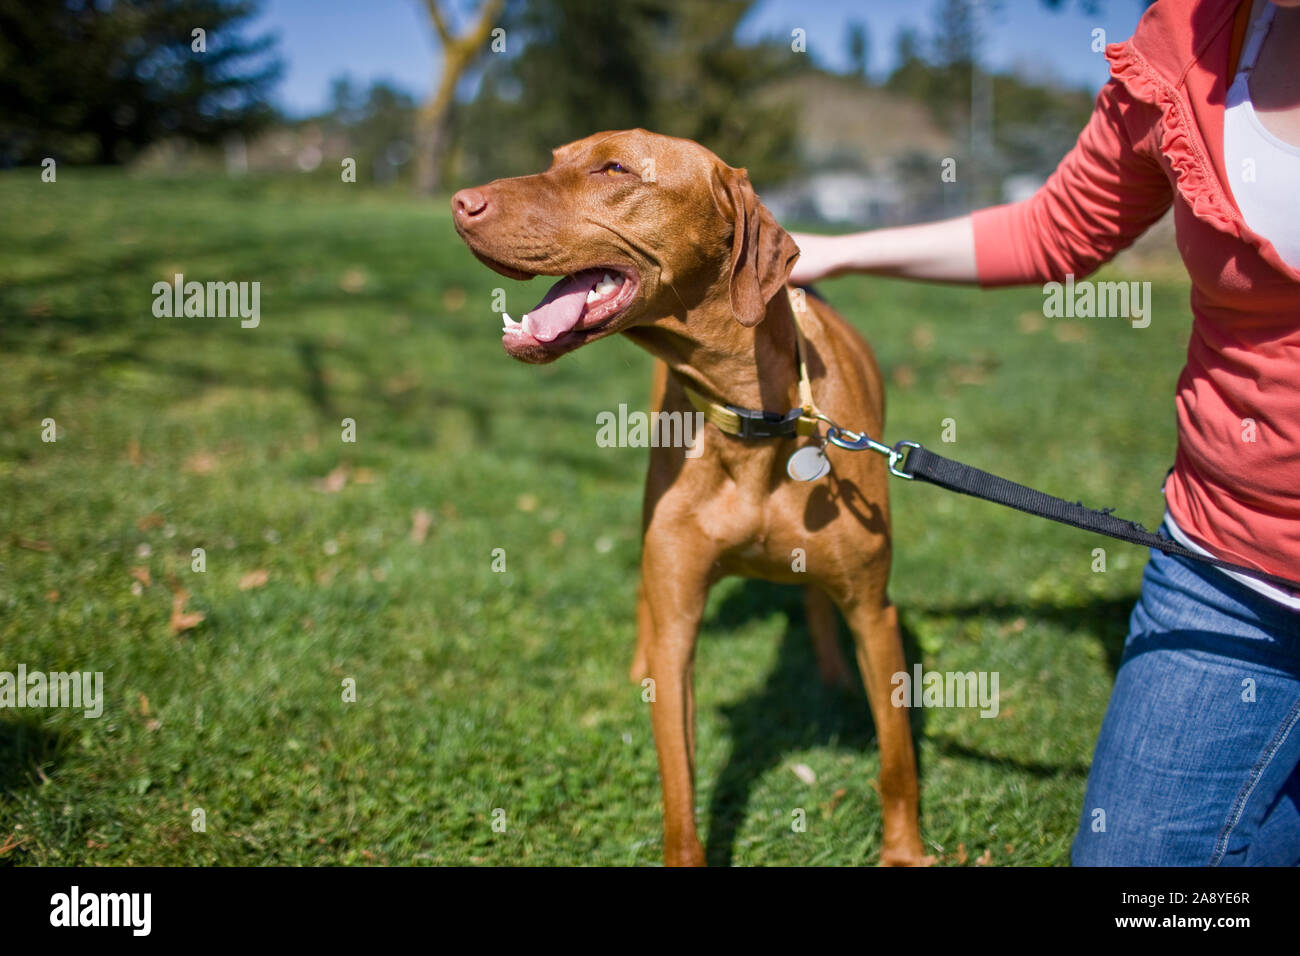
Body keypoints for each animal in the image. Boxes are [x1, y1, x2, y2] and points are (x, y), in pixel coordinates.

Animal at [452, 127, 930, 868]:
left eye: (614, 168)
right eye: (556, 159)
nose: (460, 202)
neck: (754, 419)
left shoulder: (876, 612)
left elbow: (896, 759)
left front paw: (905, 852)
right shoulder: (680, 618)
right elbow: (678, 784)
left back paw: (830, 673)